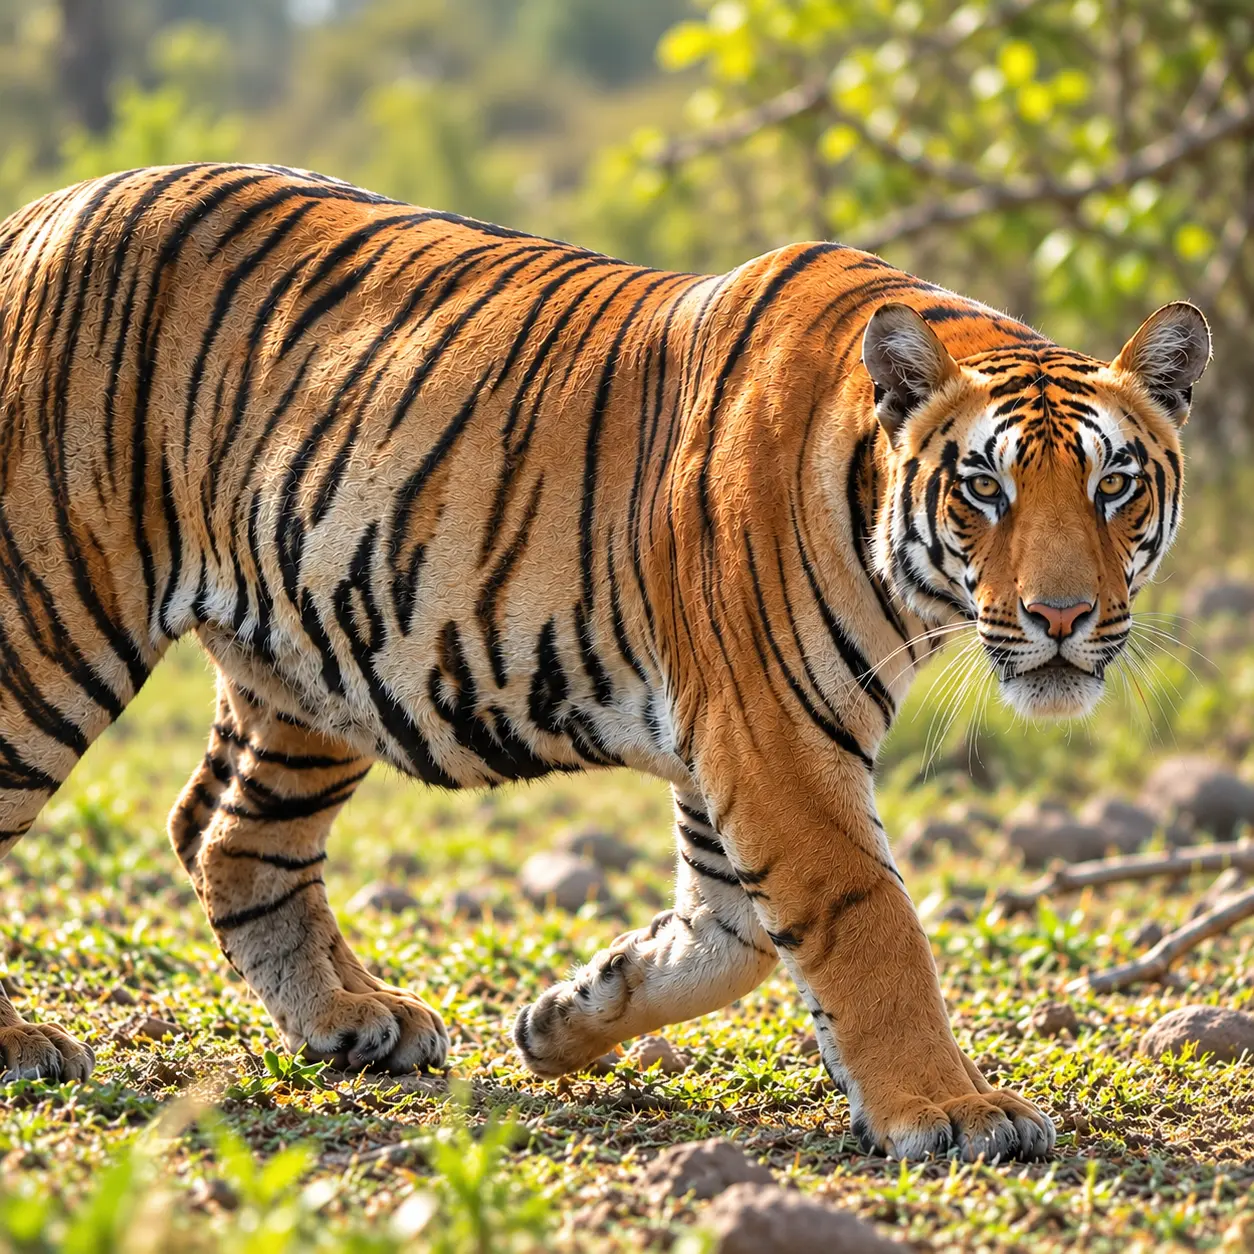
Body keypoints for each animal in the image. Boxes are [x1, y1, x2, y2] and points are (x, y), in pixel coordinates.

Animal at [0, 164, 1208, 1162]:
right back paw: (26, 1044)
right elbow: (870, 924)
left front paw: (567, 1016)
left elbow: (736, 938)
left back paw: (357, 1021)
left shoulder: (737, 752)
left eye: (1113, 485)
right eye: (983, 489)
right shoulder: (776, 743)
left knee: (233, 837)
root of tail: (39, 212)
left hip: (306, 661)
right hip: (50, 626)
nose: (1063, 615)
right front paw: (952, 1109)